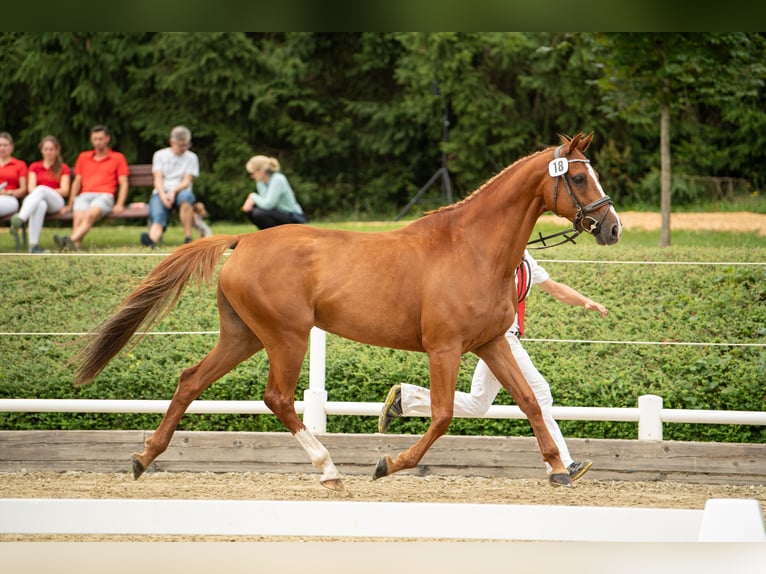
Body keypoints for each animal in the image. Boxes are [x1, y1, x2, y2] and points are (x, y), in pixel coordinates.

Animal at [73, 132, 621, 490]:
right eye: (577, 176)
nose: (612, 228)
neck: (471, 249)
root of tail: (243, 240)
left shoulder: (489, 343)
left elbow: (529, 402)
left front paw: (559, 470)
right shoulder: (444, 348)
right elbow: (443, 415)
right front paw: (388, 463)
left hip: (243, 337)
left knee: (190, 380)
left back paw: (144, 458)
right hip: (286, 338)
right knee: (277, 397)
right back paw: (329, 469)